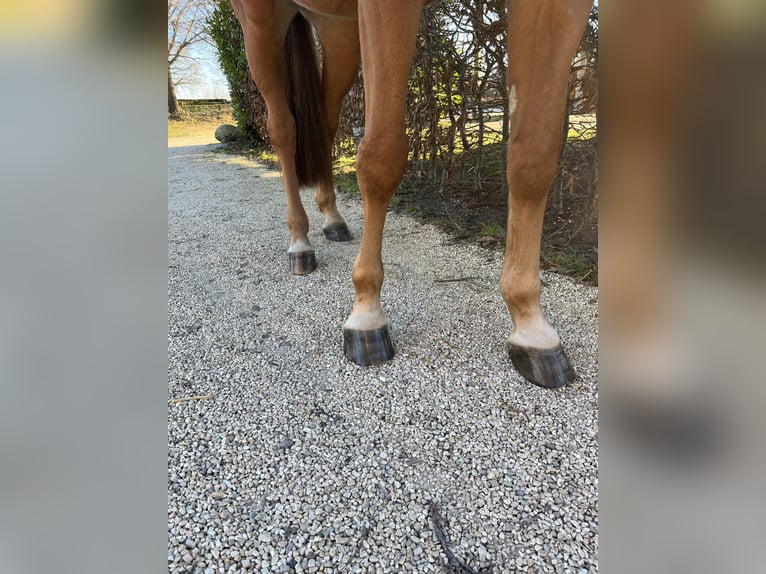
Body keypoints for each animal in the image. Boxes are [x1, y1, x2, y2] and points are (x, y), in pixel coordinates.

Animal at [231, 0, 596, 390]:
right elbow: (380, 155)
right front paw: (366, 312)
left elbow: (534, 159)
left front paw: (531, 325)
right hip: (260, 21)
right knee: (283, 128)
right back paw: (299, 241)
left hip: (336, 29)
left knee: (326, 121)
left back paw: (332, 218)